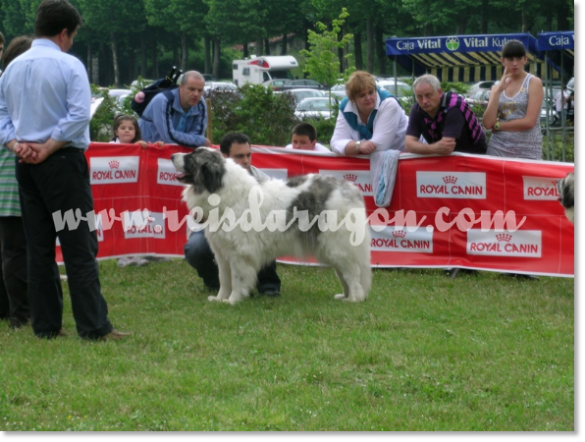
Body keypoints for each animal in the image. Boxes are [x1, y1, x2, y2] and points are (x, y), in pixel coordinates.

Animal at [171, 148, 370, 304]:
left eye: (191, 156)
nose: (172, 155)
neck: (222, 190)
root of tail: (349, 188)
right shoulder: (222, 253)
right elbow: (224, 279)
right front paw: (220, 299)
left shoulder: (239, 253)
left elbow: (237, 279)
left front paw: (233, 301)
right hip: (330, 249)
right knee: (344, 273)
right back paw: (345, 296)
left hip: (337, 246)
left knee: (352, 272)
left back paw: (354, 298)